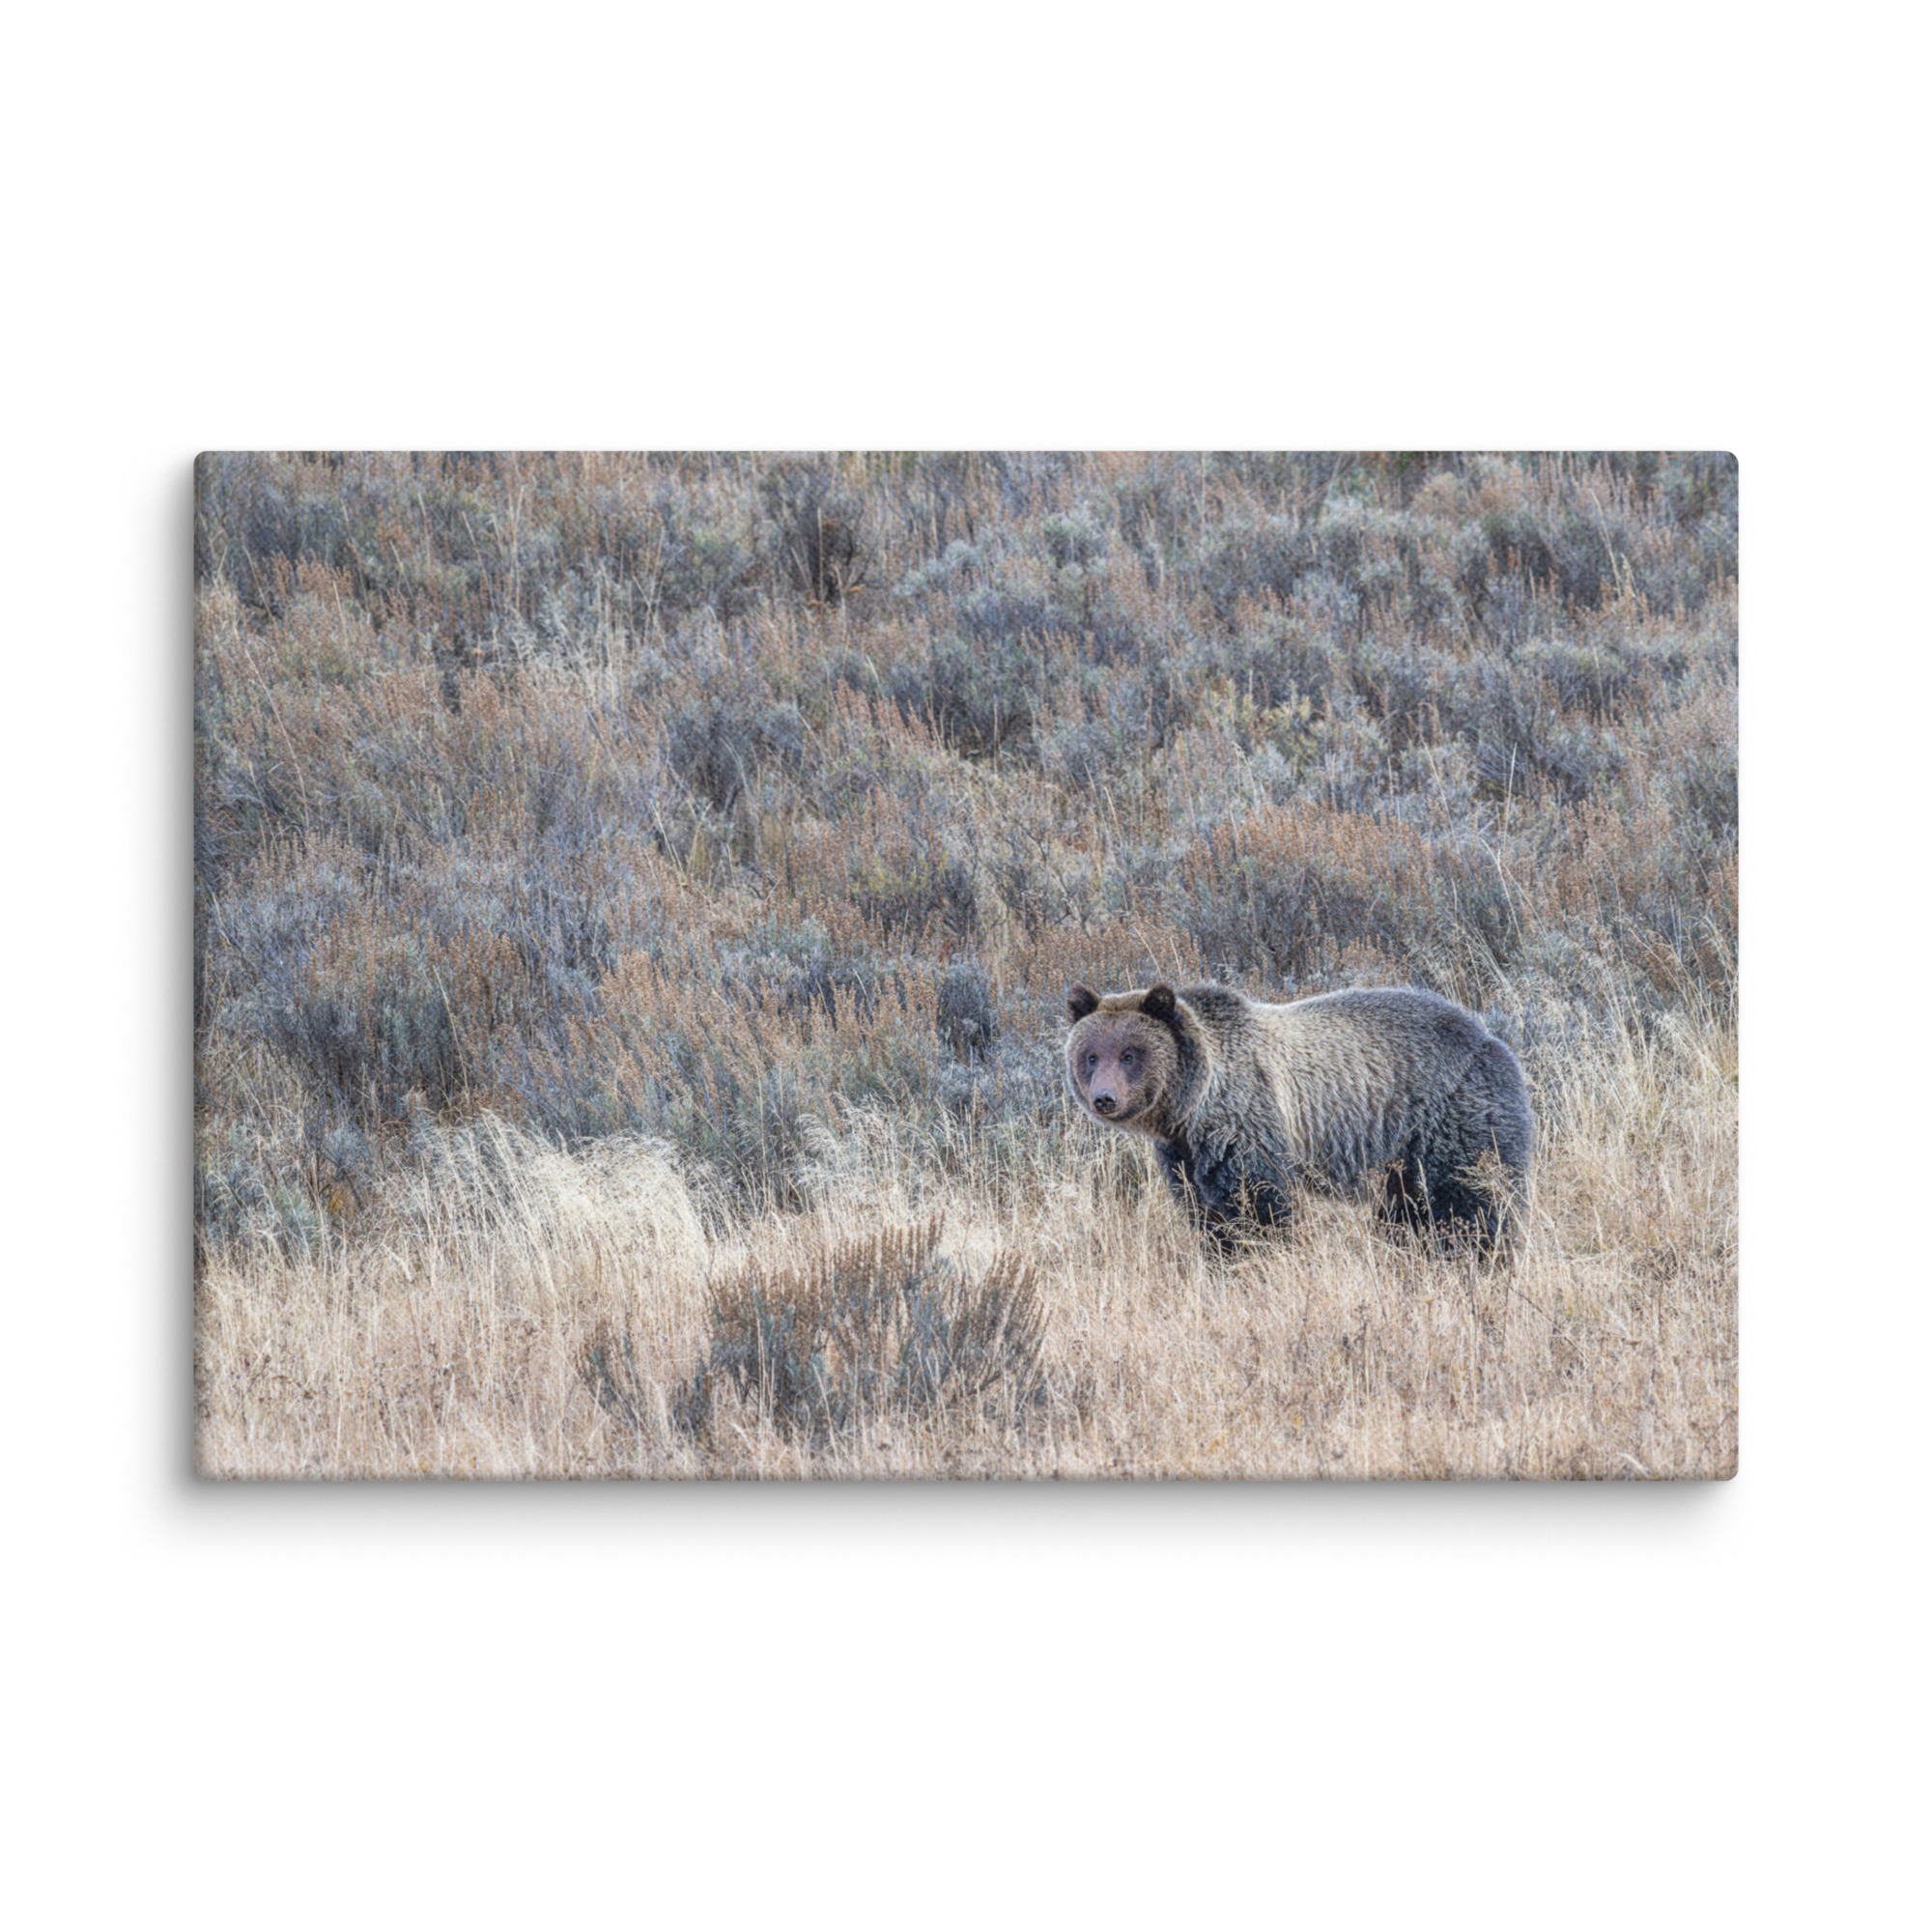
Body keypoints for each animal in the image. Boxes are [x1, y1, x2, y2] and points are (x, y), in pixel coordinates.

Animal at [1065, 980, 1533, 1250]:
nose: (1104, 1098)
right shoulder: (1184, 1155)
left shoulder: (1247, 1123)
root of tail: (1491, 1038)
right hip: (1401, 1158)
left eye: (1130, 1054)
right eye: (1091, 1056)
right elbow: (1205, 1214)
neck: (1191, 1107)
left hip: (1452, 1118)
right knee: (1407, 1212)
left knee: (1470, 1201)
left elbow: (1260, 1206)